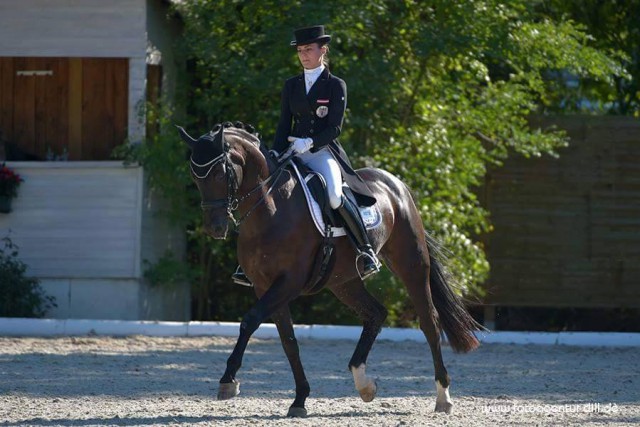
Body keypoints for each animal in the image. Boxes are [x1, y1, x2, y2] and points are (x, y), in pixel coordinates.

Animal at [178, 123, 482, 418]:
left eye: (220, 174)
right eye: (195, 177)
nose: (215, 228)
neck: (270, 210)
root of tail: (397, 184)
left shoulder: (288, 282)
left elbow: (250, 321)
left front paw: (228, 381)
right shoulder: (266, 286)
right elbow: (289, 341)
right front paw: (300, 399)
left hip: (412, 265)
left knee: (429, 322)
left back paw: (443, 397)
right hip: (343, 281)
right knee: (376, 313)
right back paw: (364, 384)